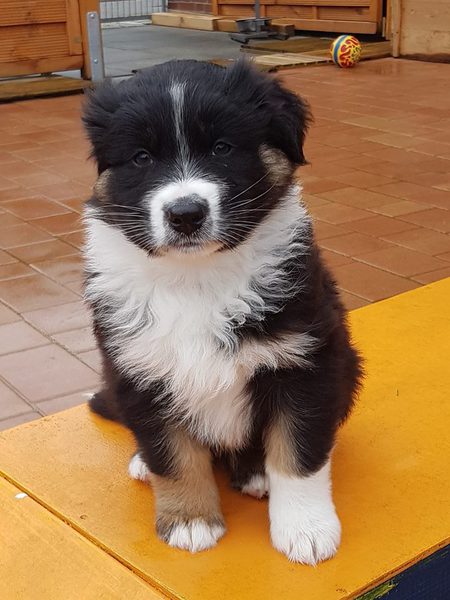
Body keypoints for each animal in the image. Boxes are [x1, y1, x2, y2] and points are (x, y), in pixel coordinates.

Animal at [82, 59, 362, 564]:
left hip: (348, 366)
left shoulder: (305, 361)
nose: (185, 214)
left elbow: (299, 452)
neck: (197, 278)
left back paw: (255, 473)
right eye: (141, 158)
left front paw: (307, 530)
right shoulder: (138, 369)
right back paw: (142, 463)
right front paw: (190, 520)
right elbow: (171, 454)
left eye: (222, 148)